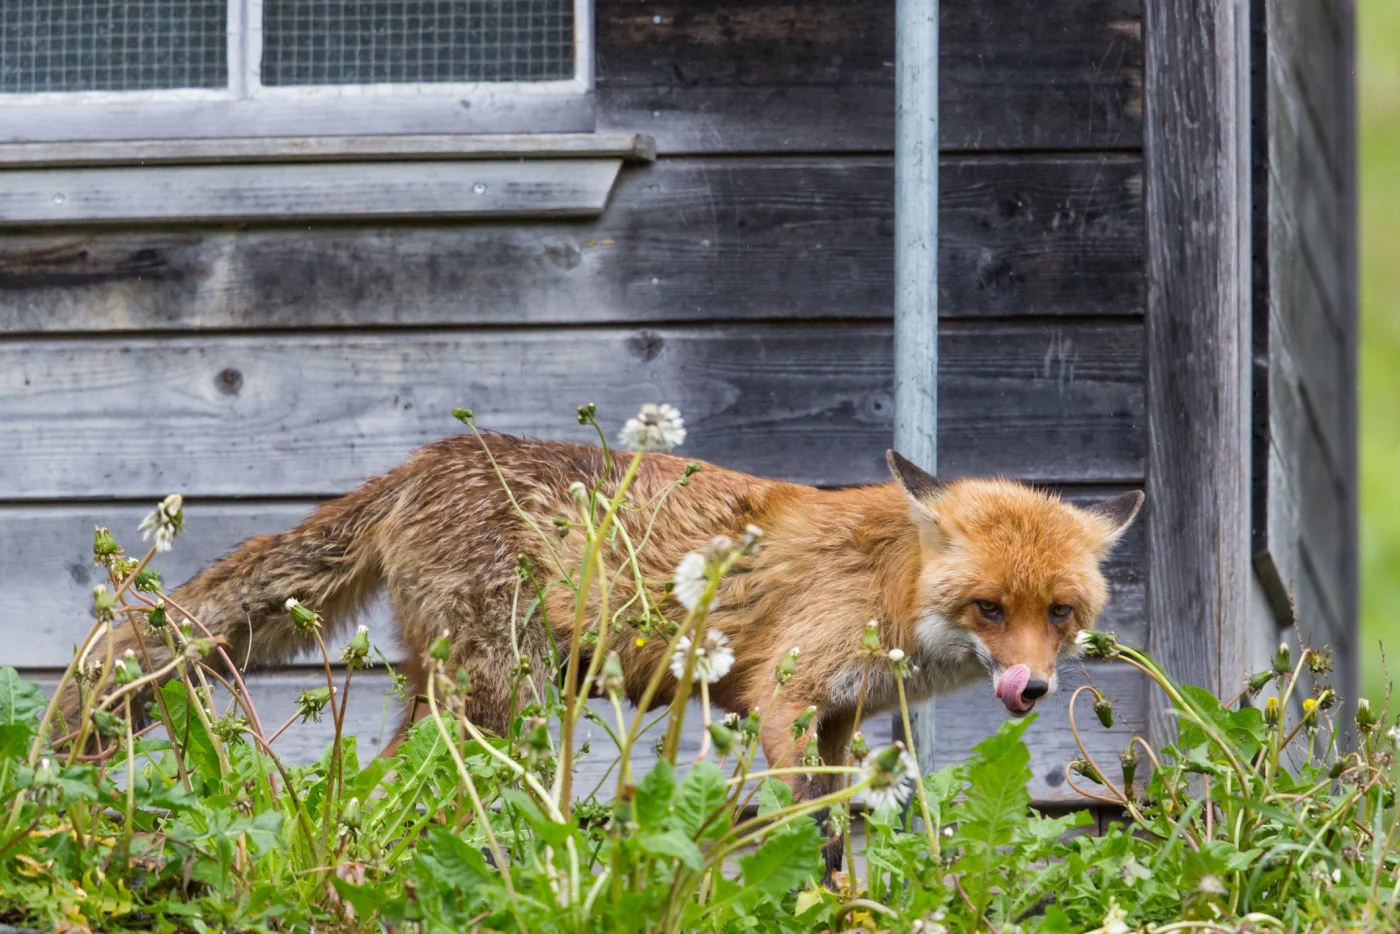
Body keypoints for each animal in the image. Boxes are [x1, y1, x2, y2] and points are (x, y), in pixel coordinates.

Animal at [78, 431, 1142, 811]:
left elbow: (841, 829)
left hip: (459, 693)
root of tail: (426, 459)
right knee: (387, 792)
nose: (1033, 688)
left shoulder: (841, 719)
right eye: (988, 608)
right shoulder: (783, 701)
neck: (885, 588)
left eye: (1060, 613)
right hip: (490, 697)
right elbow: (805, 824)